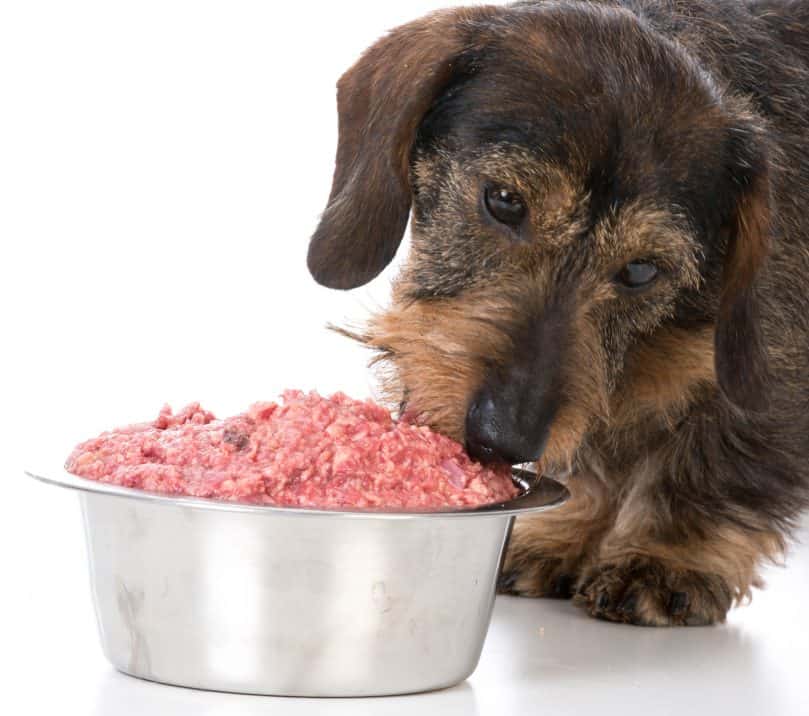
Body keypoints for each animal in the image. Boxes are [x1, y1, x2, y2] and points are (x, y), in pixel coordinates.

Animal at [304, 0, 808, 628]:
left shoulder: (770, 361)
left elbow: (721, 458)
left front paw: (663, 555)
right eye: (503, 200)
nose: (501, 441)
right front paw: (567, 530)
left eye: (640, 270)